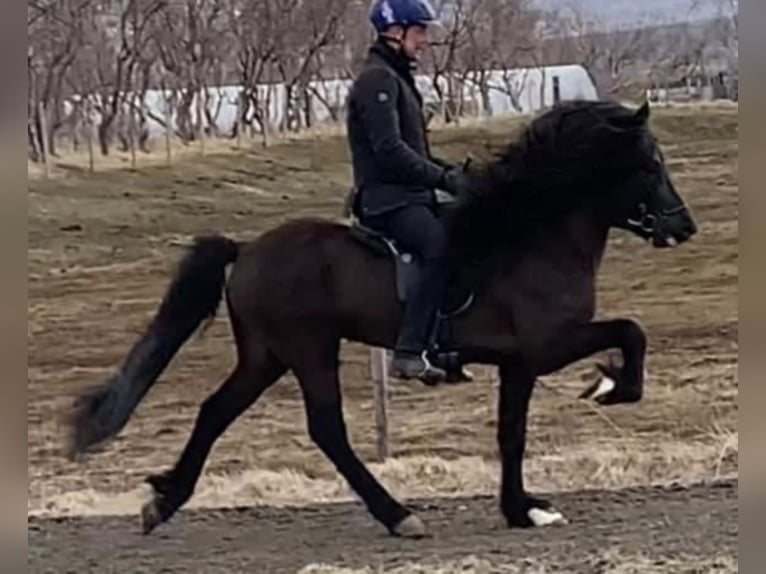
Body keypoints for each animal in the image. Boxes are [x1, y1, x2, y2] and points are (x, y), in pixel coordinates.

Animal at [68, 100, 697, 538]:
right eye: (651, 164)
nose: (683, 227)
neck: (532, 235)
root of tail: (246, 251)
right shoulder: (546, 347)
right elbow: (631, 332)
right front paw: (610, 386)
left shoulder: (517, 364)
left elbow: (511, 434)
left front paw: (523, 510)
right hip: (309, 350)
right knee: (327, 430)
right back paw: (398, 515)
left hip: (267, 356)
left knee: (215, 411)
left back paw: (164, 500)